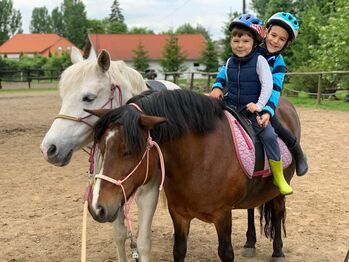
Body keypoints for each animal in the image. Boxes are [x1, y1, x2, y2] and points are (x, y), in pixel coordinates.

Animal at [40, 47, 179, 262]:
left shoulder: (148, 193)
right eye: (63, 97)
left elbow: (144, 243)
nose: (49, 149)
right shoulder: (110, 190)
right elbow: (119, 235)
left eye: (88, 98)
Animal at [87, 89, 300, 260]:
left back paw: (278, 252)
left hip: (278, 190)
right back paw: (250, 243)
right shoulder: (179, 214)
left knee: (278, 212)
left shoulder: (223, 215)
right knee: (251, 208)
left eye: (128, 151)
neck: (199, 158)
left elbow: (226, 253)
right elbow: (179, 250)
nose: (97, 207)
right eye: (102, 149)